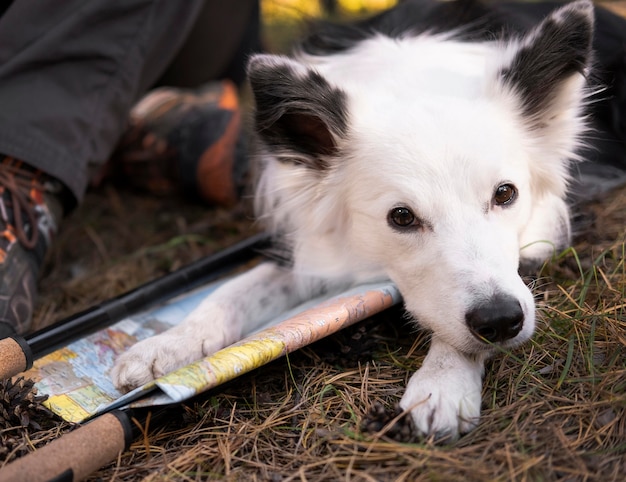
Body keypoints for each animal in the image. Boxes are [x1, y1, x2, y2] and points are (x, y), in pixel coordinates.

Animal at [111, 0, 624, 436]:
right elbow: (236, 288)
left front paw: (442, 382)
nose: (500, 321)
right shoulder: (311, 242)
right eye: (401, 217)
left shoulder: (538, 234)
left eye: (505, 194)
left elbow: (462, 332)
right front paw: (169, 344)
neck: (413, 80)